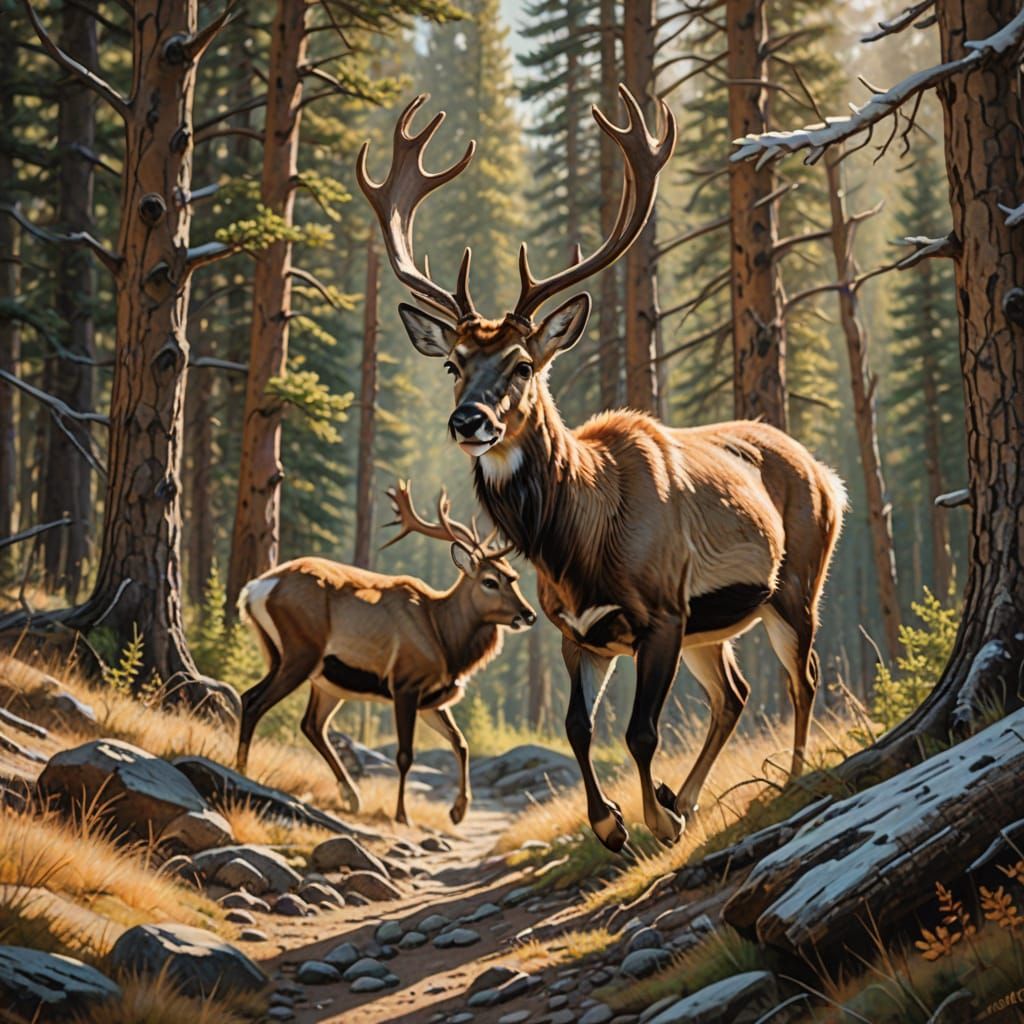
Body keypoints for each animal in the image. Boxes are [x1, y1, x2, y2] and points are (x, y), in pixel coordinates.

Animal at [234, 482, 536, 827]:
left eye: (513, 577)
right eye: (490, 581)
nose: (528, 615)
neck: (445, 639)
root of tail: (255, 589)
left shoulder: (433, 699)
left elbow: (461, 743)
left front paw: (458, 811)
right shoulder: (405, 682)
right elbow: (405, 755)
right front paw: (402, 815)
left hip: (307, 671)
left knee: (306, 722)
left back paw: (351, 795)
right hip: (300, 651)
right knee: (257, 702)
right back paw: (242, 771)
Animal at [357, 88, 847, 852]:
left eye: (523, 365)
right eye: (452, 363)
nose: (468, 421)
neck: (578, 544)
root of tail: (829, 475)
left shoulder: (665, 609)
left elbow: (640, 731)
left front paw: (653, 817)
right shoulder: (577, 628)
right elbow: (578, 729)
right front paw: (616, 821)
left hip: (797, 579)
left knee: (803, 677)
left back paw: (787, 779)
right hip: (715, 627)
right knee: (734, 694)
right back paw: (692, 796)